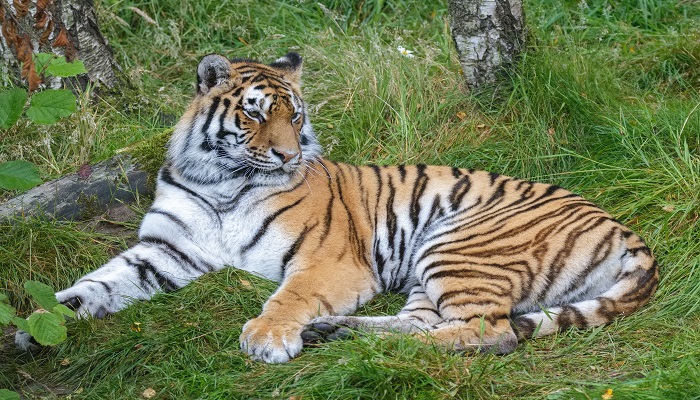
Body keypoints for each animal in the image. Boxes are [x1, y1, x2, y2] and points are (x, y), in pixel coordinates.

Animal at [16, 52, 658, 363]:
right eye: (253, 112)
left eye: (294, 114)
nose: (289, 152)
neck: (222, 181)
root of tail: (622, 228)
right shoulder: (163, 250)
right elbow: (97, 283)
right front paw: (36, 326)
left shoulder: (328, 261)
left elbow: (289, 294)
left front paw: (266, 336)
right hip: (431, 266)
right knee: (424, 321)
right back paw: (340, 333)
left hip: (458, 242)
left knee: (489, 332)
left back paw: (346, 337)